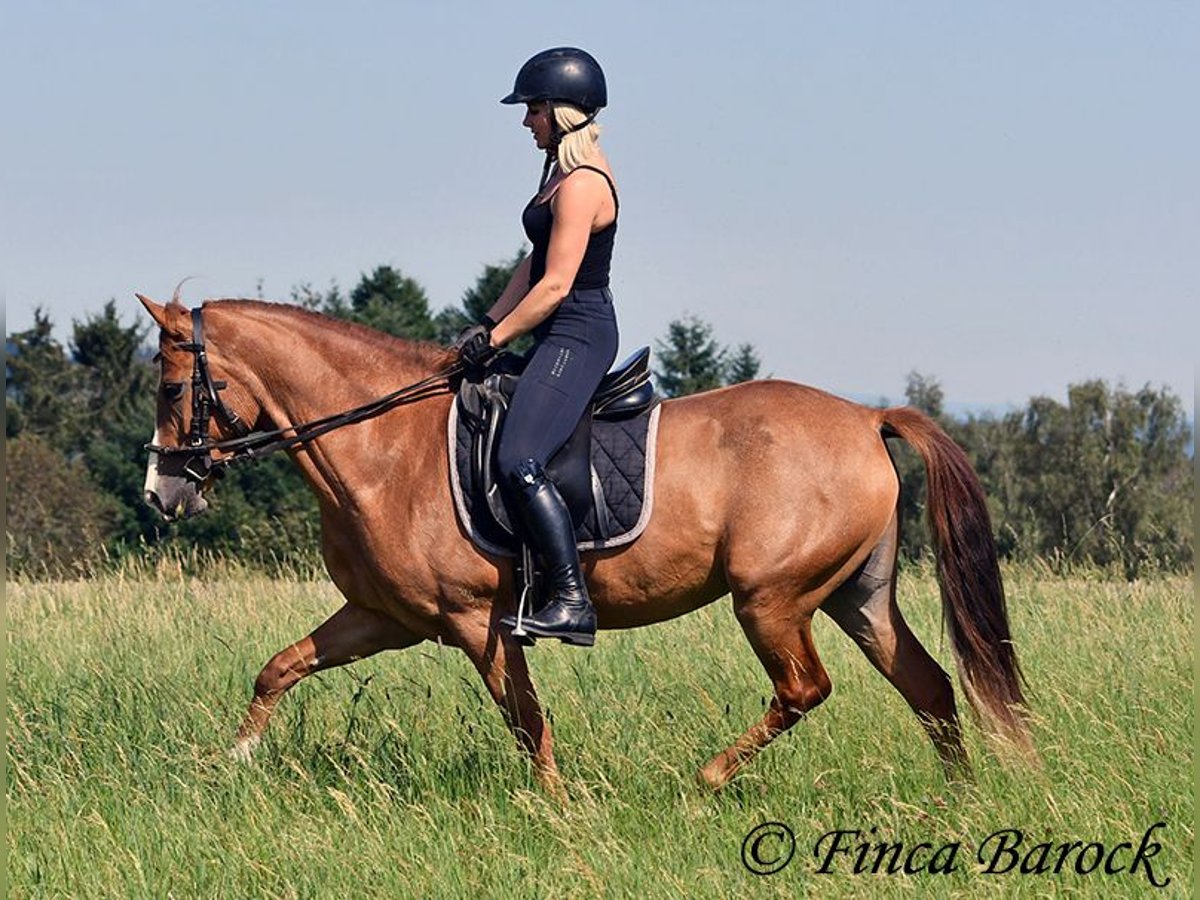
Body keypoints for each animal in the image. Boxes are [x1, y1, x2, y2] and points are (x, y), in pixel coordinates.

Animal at [133, 294, 1032, 796]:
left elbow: (527, 719)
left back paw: (705, 781)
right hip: (857, 597)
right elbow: (278, 668)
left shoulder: (474, 622)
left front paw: (557, 811)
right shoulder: (383, 617)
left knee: (806, 689)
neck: (384, 445)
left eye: (173, 388)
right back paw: (961, 805)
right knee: (930, 688)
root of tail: (867, 417)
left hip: (772, 600)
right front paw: (233, 763)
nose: (161, 492)